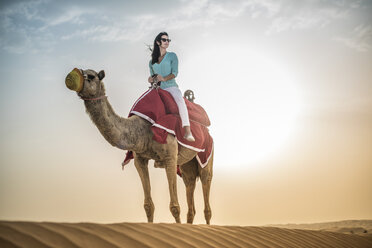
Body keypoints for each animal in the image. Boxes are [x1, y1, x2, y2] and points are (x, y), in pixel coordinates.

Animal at [65, 68, 214, 225]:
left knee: (206, 183)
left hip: (207, 152)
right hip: (187, 164)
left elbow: (175, 206)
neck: (142, 129)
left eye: (91, 76)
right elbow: (148, 205)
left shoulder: (170, 157)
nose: (71, 77)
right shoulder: (139, 159)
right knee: (189, 183)